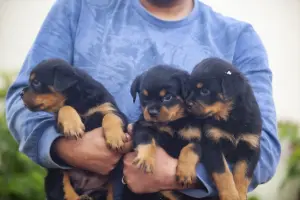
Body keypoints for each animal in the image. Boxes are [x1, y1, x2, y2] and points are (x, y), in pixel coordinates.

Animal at [20, 58, 128, 200]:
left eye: (36, 82)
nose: (20, 93)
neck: (77, 98)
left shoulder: (109, 108)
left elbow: (111, 116)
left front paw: (115, 138)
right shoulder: (58, 122)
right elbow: (64, 108)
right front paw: (73, 126)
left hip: (111, 185)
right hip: (57, 175)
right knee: (67, 193)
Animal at [124, 65, 202, 199]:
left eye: (168, 97)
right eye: (145, 97)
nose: (152, 112)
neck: (172, 123)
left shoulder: (197, 138)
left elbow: (191, 148)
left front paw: (185, 172)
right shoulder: (142, 126)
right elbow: (146, 139)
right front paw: (145, 159)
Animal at [186, 57, 262, 200]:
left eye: (204, 91)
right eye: (189, 90)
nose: (186, 104)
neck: (231, 117)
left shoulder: (251, 147)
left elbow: (243, 174)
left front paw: (240, 194)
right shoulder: (212, 144)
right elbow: (223, 173)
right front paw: (230, 195)